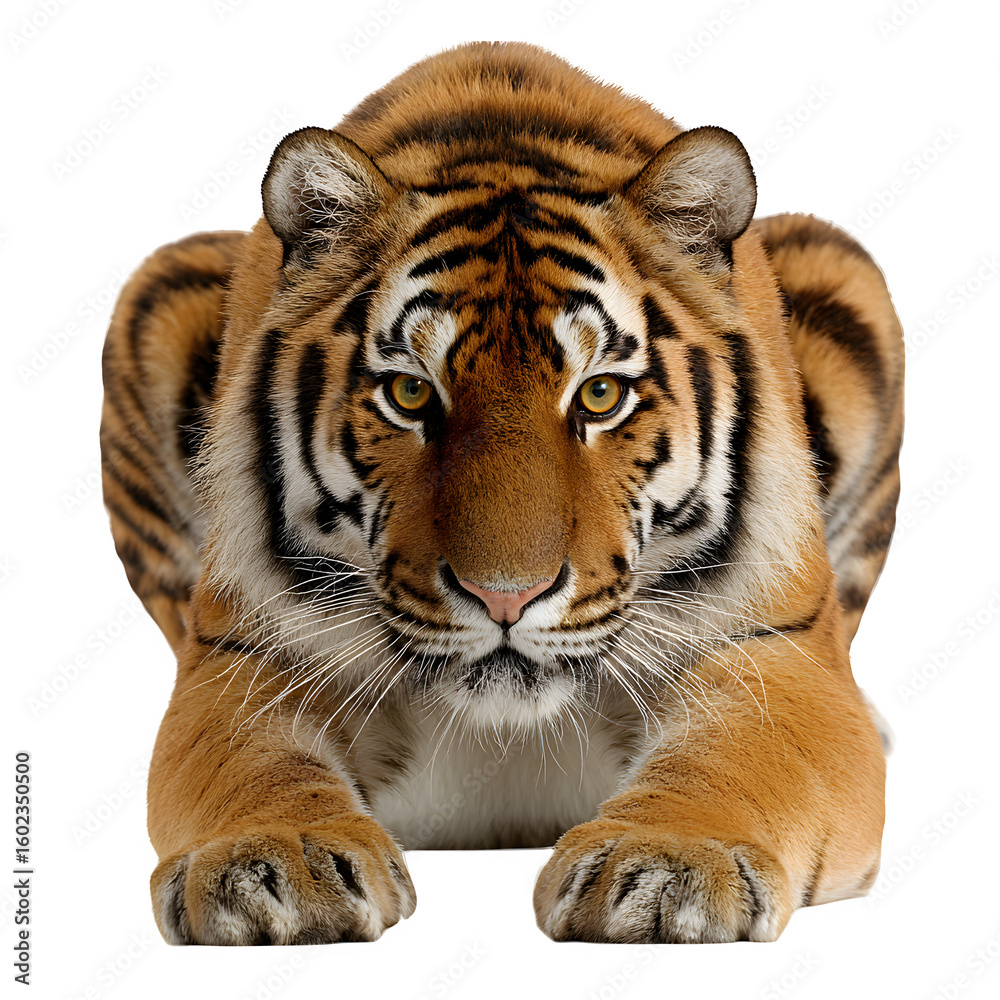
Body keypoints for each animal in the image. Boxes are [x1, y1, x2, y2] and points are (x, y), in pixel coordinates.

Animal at [100, 41, 903, 945]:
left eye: (600, 395)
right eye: (410, 394)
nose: (506, 597)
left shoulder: (777, 650)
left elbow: (736, 761)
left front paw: (670, 864)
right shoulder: (241, 655)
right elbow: (253, 765)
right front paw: (275, 861)